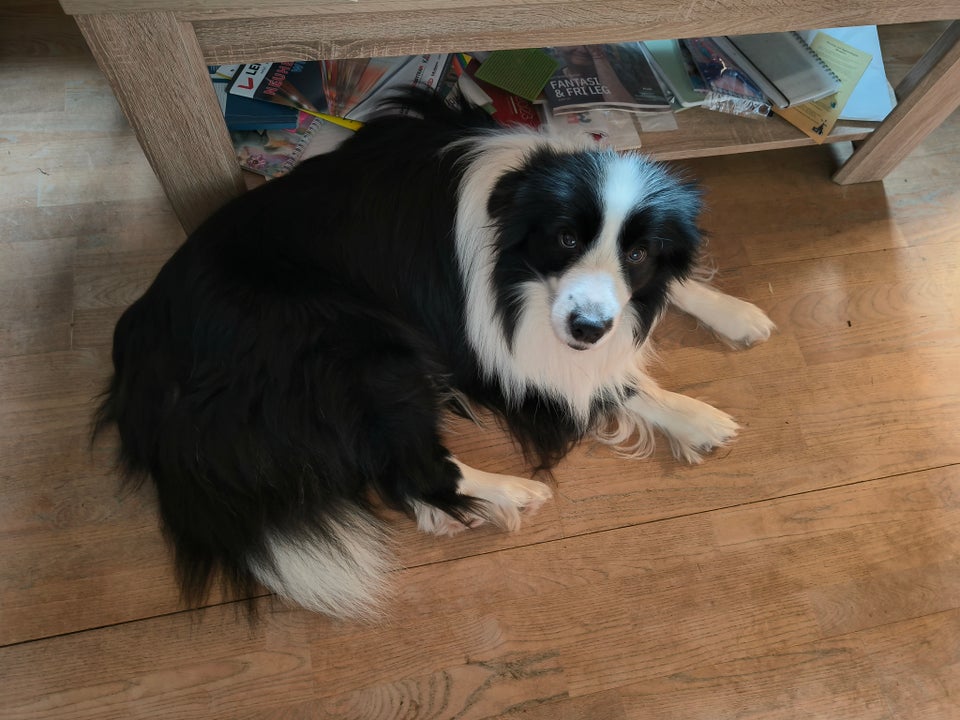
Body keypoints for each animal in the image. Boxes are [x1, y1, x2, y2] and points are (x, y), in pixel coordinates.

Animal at [97, 93, 772, 620]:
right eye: (565, 238)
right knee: (417, 465)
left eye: (637, 254)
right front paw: (697, 417)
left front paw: (733, 312)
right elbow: (611, 381)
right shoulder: (495, 351)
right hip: (362, 345)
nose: (587, 328)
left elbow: (662, 293)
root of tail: (143, 383)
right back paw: (511, 493)